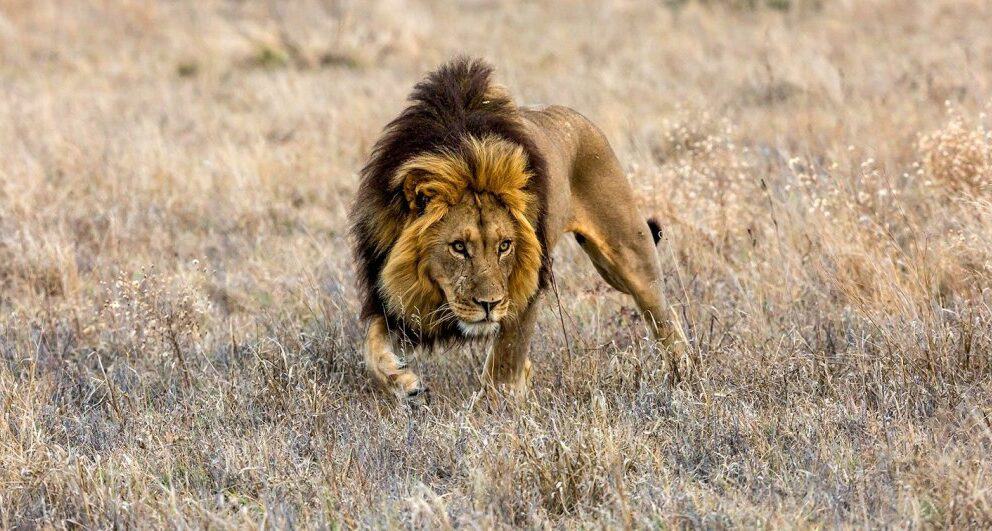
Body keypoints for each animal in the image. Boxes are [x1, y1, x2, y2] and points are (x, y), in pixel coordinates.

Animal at [349, 58, 680, 403]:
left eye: (505, 245)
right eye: (458, 247)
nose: (489, 305)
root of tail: (577, 117)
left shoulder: (527, 283)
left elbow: (505, 359)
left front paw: (497, 405)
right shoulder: (388, 293)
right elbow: (371, 347)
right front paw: (403, 382)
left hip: (628, 254)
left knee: (666, 319)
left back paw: (683, 376)